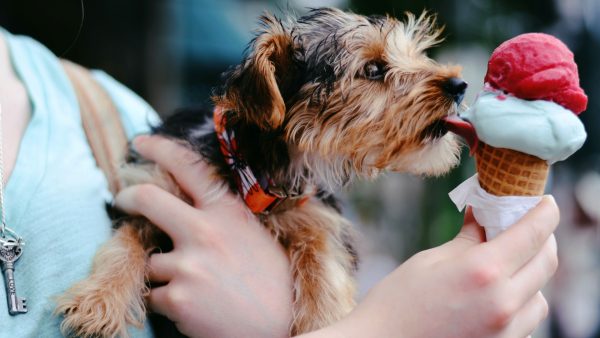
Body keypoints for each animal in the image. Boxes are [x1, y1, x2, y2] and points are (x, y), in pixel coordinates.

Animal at [56, 7, 466, 338]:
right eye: (374, 69)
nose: (459, 85)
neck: (254, 168)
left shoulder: (316, 216)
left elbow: (324, 263)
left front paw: (323, 318)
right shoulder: (151, 186)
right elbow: (125, 241)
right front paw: (99, 299)